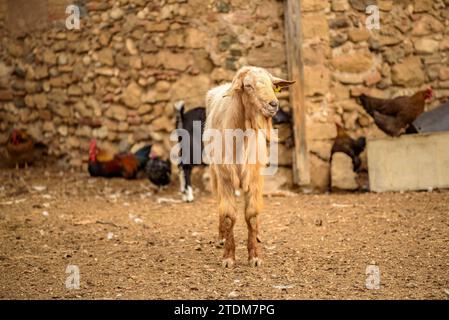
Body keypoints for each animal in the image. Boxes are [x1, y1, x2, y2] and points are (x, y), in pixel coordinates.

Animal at [205, 65, 296, 268]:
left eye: (272, 84)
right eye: (248, 85)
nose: (273, 104)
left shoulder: (254, 177)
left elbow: (252, 216)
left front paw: (255, 256)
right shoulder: (225, 177)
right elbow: (229, 216)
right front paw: (228, 258)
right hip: (214, 173)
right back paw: (221, 237)